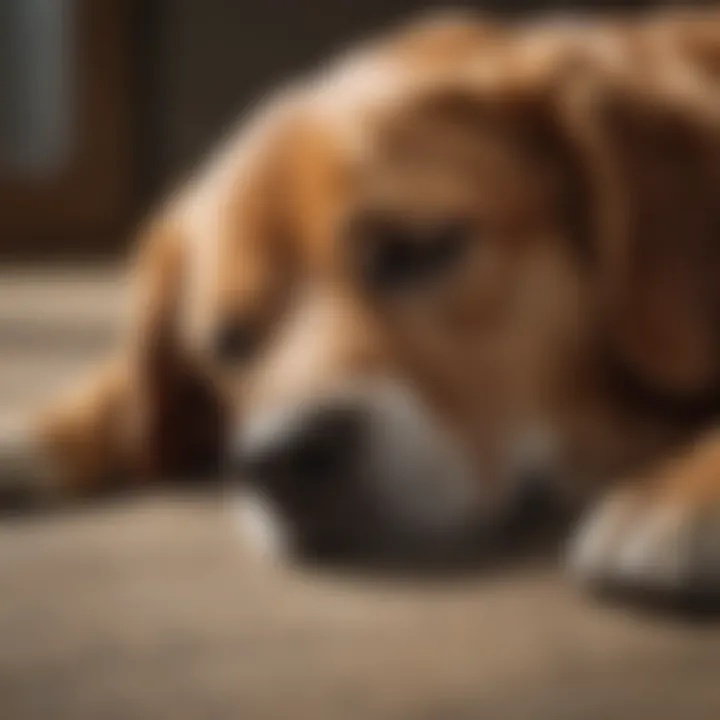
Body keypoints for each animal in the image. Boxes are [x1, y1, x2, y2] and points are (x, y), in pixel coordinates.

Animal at [4, 9, 720, 596]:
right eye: (231, 340)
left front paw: (685, 498)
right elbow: (126, 382)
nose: (283, 460)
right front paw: (45, 427)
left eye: (414, 248)